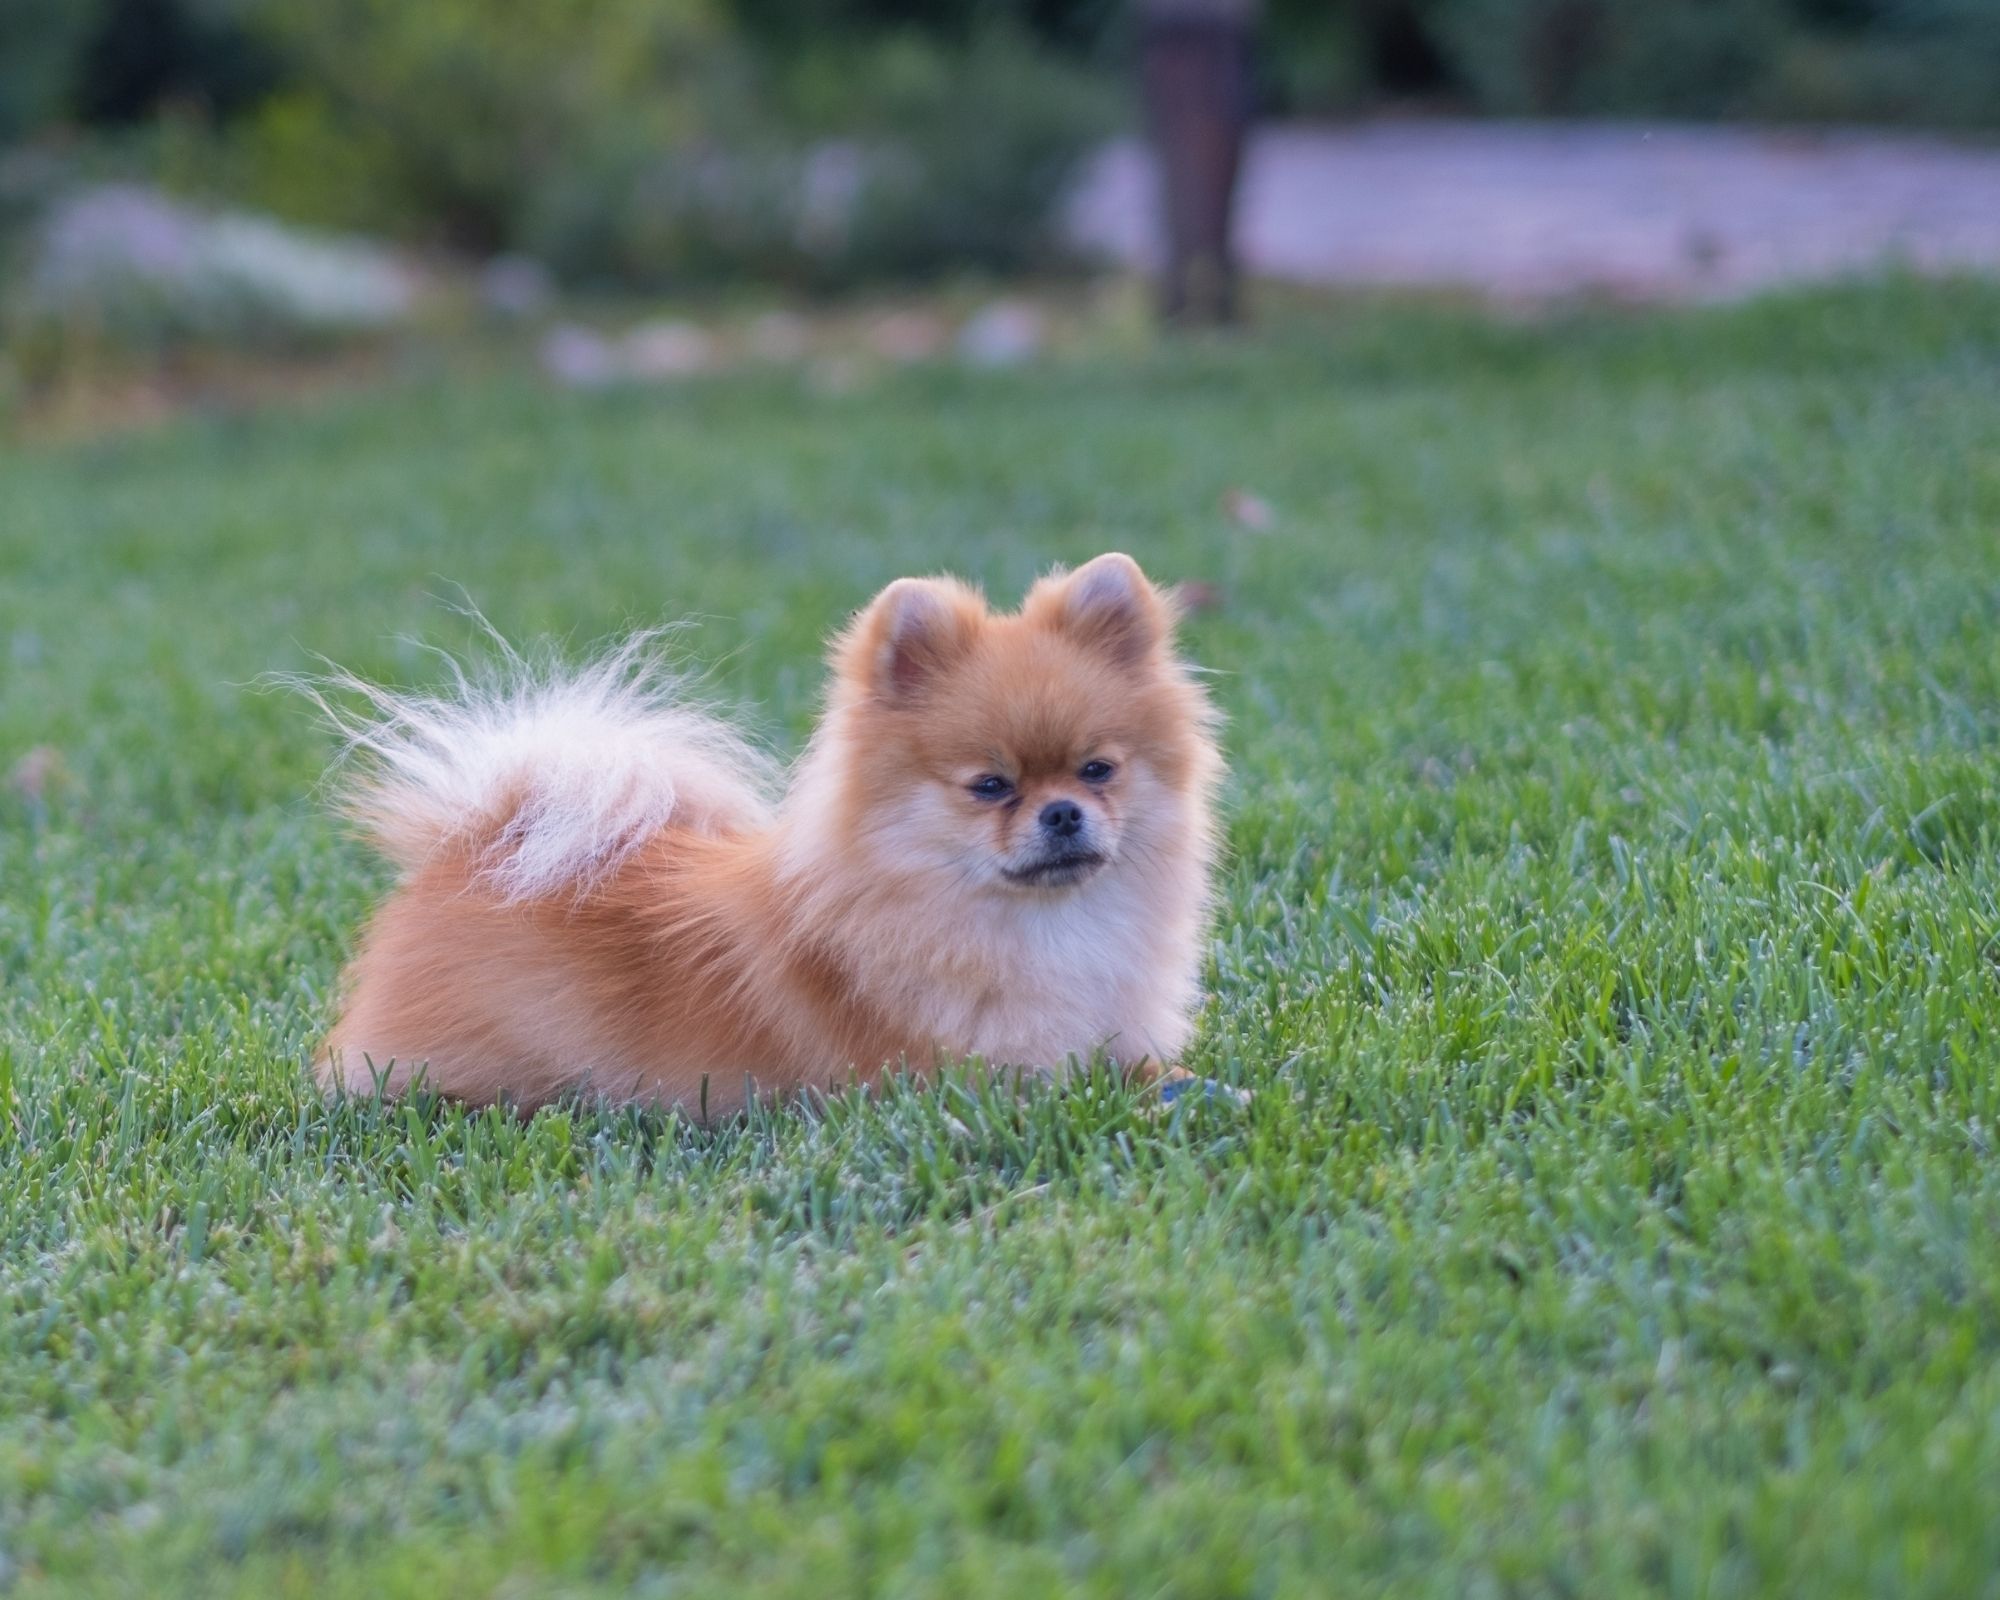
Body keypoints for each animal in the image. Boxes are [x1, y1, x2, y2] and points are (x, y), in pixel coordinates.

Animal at [316, 556, 1216, 1120]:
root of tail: (483, 834)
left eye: (1098, 771)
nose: (1062, 813)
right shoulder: (966, 1077)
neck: (1039, 928)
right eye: (991, 786)